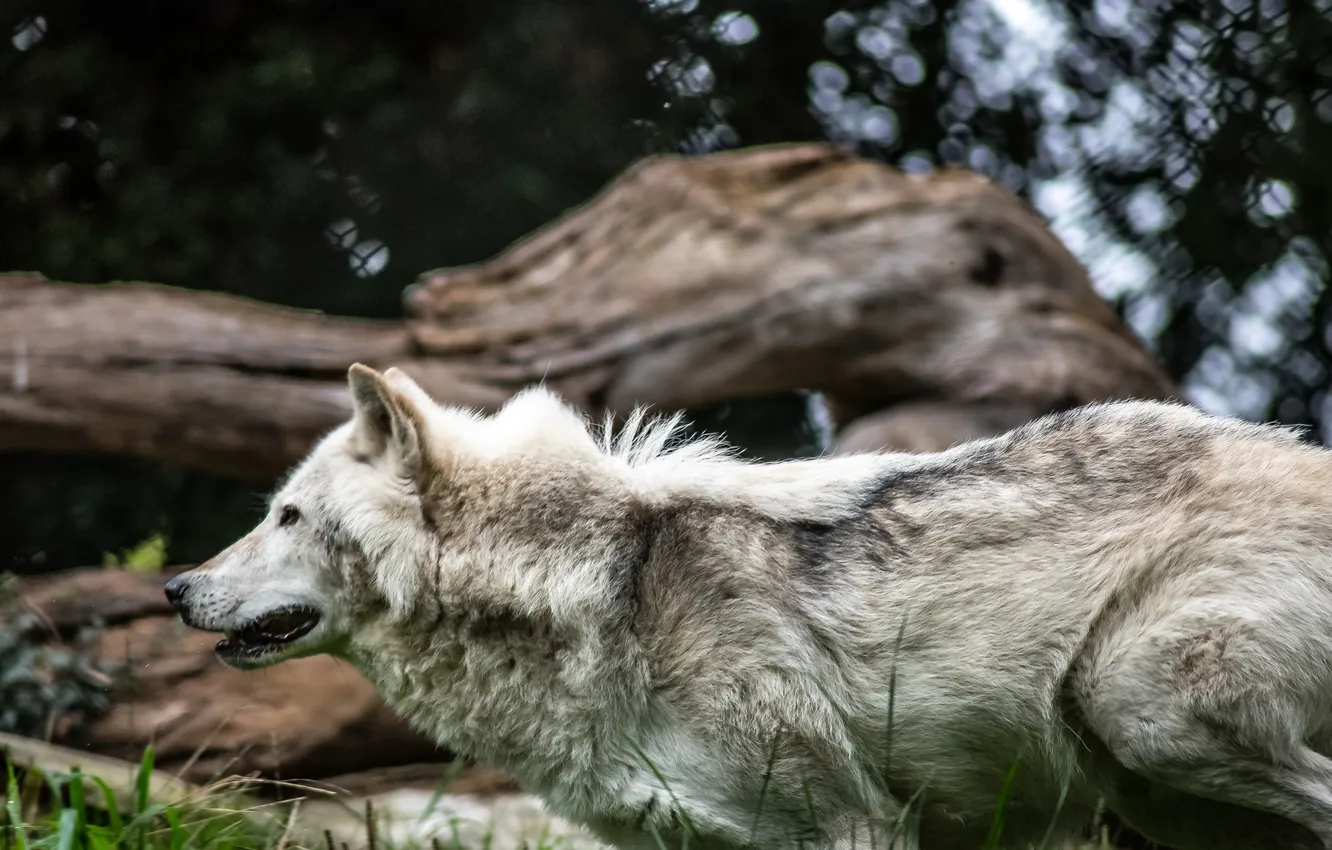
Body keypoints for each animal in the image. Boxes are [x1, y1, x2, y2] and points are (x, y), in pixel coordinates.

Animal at [165, 363, 1332, 850]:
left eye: (286, 514)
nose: (174, 587)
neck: (590, 587)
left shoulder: (857, 826)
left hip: (1145, 712)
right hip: (1174, 806)